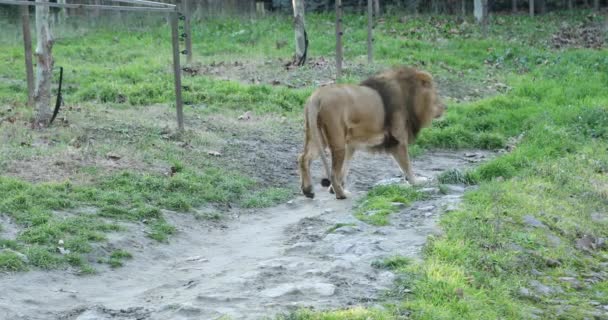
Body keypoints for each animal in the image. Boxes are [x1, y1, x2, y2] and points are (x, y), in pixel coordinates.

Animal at [296, 66, 444, 199]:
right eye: (436, 95)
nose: (444, 107)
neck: (409, 96)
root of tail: (316, 97)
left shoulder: (351, 145)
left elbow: (345, 169)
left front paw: (332, 189)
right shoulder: (398, 140)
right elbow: (407, 165)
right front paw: (416, 182)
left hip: (318, 137)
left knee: (304, 158)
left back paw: (308, 190)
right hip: (337, 141)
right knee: (332, 173)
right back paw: (341, 195)